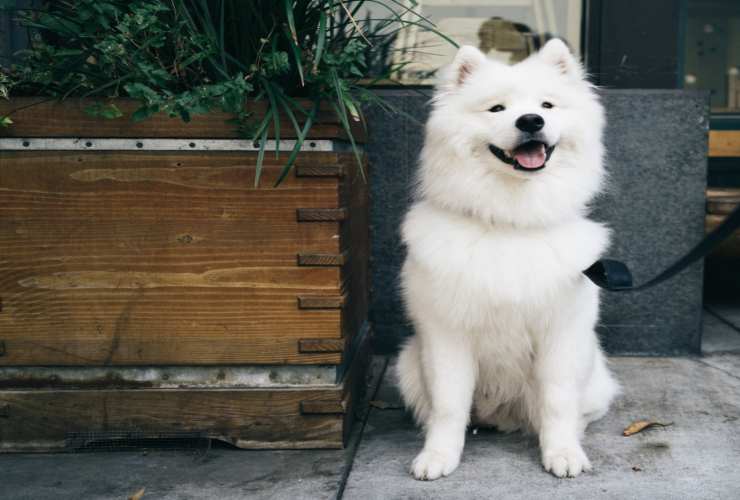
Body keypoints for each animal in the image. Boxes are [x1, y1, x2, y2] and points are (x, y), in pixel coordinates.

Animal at [398, 40, 620, 480]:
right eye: (497, 108)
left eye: (547, 105)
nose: (531, 120)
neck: (511, 222)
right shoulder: (447, 335)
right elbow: (449, 406)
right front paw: (438, 456)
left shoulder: (560, 335)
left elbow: (557, 402)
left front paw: (562, 453)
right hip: (407, 365)